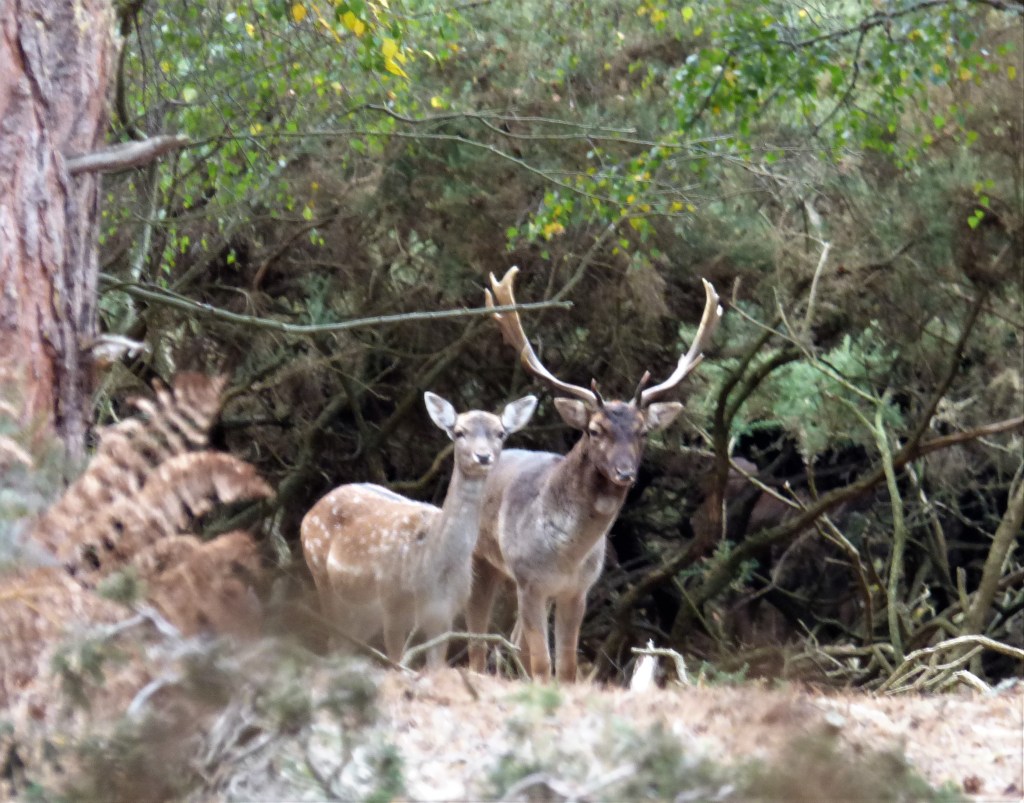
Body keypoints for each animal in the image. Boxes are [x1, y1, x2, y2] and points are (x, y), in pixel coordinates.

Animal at [301, 391, 537, 669]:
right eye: (459, 432)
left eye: (500, 433)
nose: (482, 456)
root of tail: (311, 511)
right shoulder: (392, 601)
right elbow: (396, 663)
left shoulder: (446, 611)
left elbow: (435, 666)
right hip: (321, 574)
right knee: (334, 640)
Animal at [467, 266, 722, 682]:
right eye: (594, 430)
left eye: (643, 432)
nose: (625, 473)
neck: (565, 556)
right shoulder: (530, 580)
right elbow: (543, 663)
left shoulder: (578, 590)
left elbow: (568, 666)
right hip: (482, 559)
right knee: (478, 639)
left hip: (511, 579)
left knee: (512, 641)